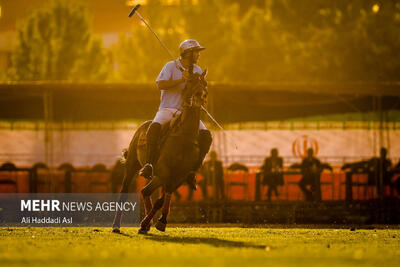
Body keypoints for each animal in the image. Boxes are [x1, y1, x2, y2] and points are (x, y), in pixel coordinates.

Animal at [111, 69, 208, 234]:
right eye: (189, 82)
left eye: (204, 83)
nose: (199, 96)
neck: (185, 135)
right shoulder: (165, 170)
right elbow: (160, 196)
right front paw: (152, 222)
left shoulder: (181, 175)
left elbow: (162, 197)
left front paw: (160, 222)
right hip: (132, 165)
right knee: (125, 192)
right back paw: (117, 226)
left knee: (145, 191)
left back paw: (146, 224)